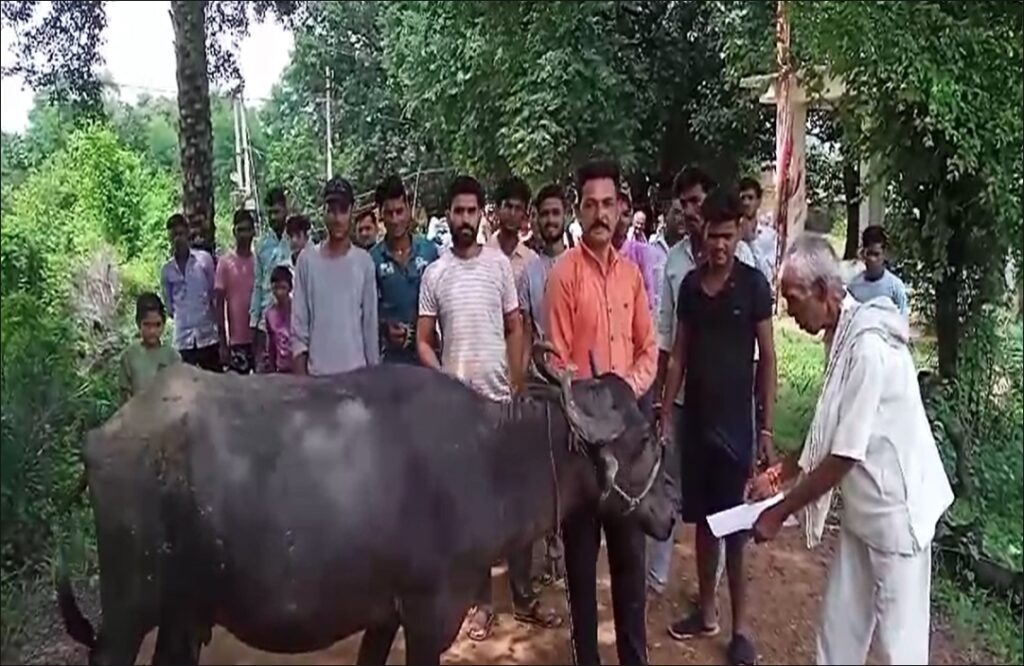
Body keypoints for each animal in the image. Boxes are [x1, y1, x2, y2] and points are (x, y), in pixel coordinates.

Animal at [59, 350, 675, 659]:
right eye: (645, 439)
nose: (671, 511)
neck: (488, 459)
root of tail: (102, 437)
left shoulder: (384, 619)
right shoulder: (428, 618)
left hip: (182, 612)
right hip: (128, 612)